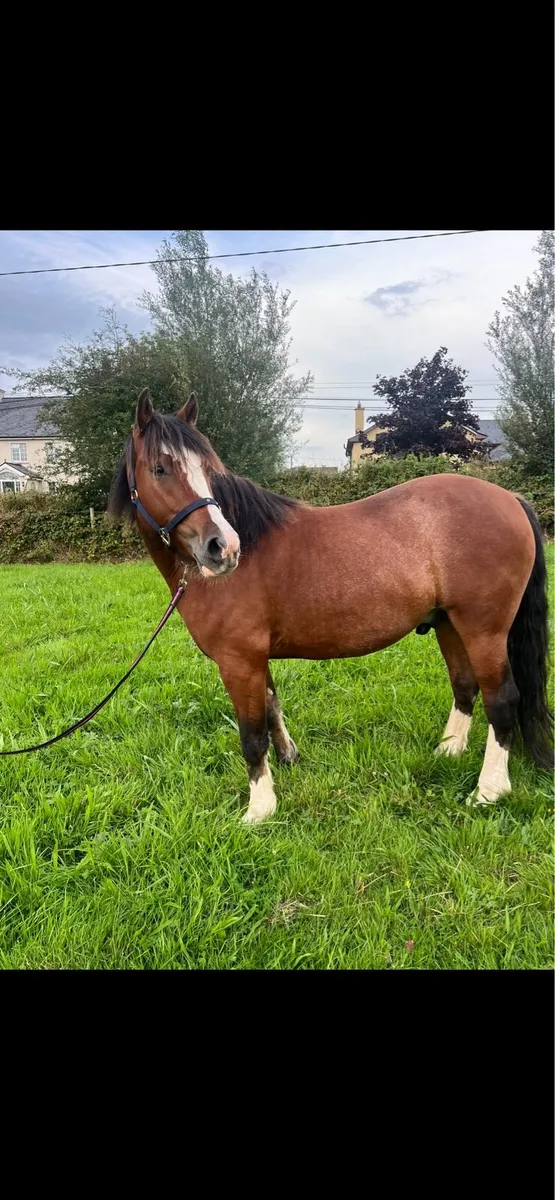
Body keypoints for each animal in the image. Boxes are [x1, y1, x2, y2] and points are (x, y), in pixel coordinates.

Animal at [108, 388, 552, 823]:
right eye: (160, 469)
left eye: (207, 469)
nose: (223, 547)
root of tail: (510, 498)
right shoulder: (256, 658)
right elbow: (272, 707)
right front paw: (287, 760)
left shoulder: (238, 661)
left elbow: (251, 734)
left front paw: (260, 809)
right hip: (449, 624)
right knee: (465, 685)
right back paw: (448, 751)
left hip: (484, 630)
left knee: (502, 699)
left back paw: (489, 791)